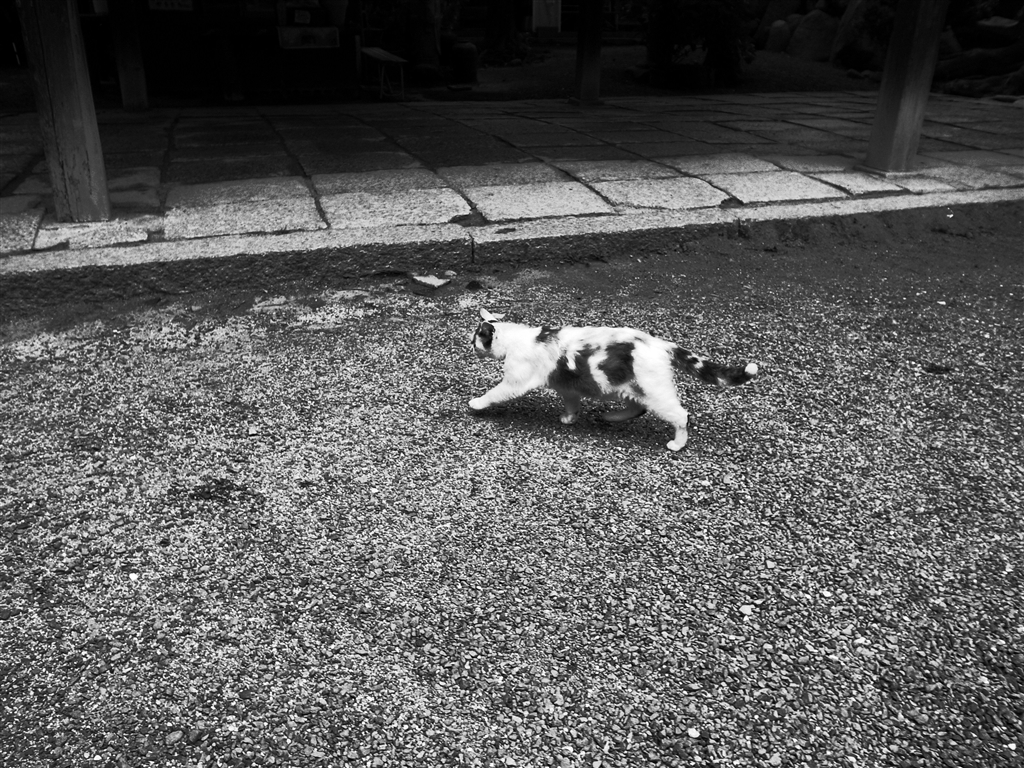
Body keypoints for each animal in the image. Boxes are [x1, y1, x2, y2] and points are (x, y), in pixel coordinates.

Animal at [468, 308, 758, 451]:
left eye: (476, 338)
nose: (470, 345)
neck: (518, 338)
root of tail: (661, 343)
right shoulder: (567, 386)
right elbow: (572, 403)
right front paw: (569, 418)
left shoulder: (515, 382)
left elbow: (493, 394)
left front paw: (476, 404)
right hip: (628, 388)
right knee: (637, 408)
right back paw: (610, 417)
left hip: (654, 393)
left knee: (681, 415)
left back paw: (677, 444)